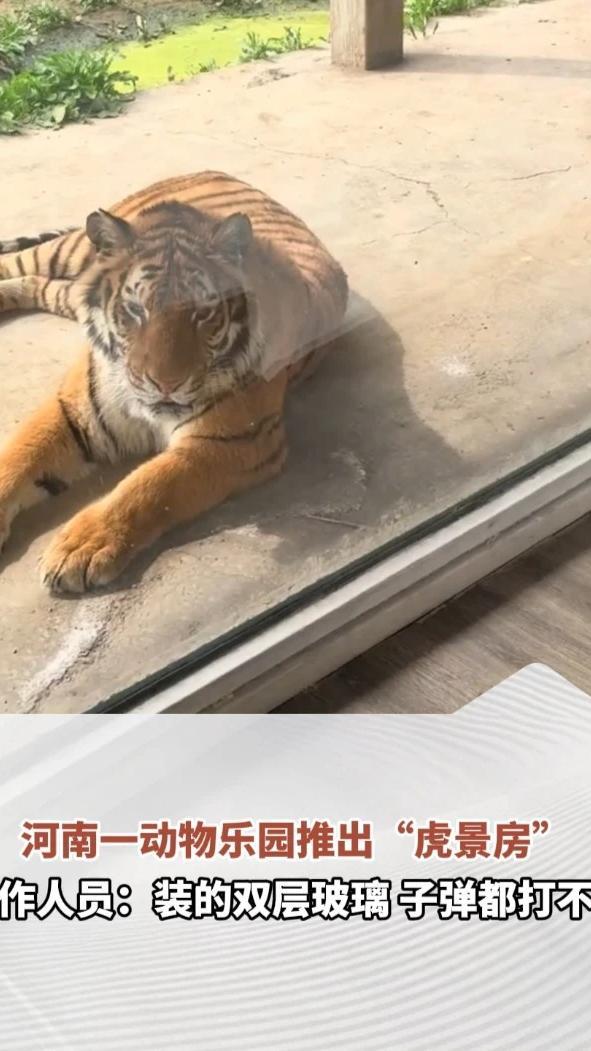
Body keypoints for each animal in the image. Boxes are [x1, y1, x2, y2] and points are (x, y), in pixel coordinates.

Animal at [0, 171, 348, 593]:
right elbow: (18, 455)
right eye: (135, 310)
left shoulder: (233, 441)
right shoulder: (74, 410)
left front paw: (81, 547)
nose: (165, 384)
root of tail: (213, 171)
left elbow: (148, 486)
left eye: (203, 313)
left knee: (38, 283)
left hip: (67, 287)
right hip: (69, 249)